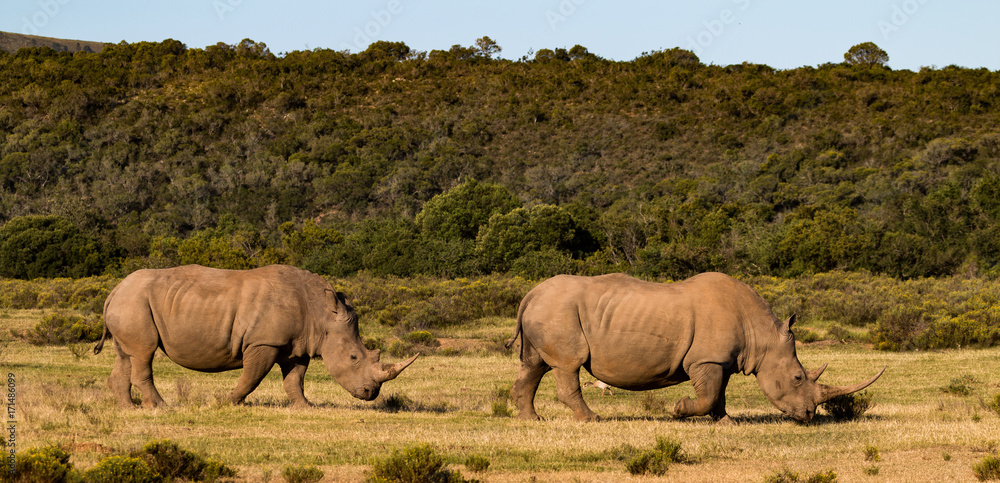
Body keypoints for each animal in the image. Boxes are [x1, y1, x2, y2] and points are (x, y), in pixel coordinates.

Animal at [94, 264, 418, 408]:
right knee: (144, 353)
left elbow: (294, 380)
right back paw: (162, 407)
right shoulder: (264, 341)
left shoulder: (296, 345)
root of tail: (113, 291)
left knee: (126, 354)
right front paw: (227, 401)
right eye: (353, 357)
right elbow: (252, 377)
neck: (321, 313)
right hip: (134, 303)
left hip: (130, 304)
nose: (371, 393)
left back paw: (129, 408)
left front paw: (305, 407)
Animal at [507, 272, 884, 423]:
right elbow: (707, 396)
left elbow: (719, 396)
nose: (808, 416)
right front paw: (678, 409)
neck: (761, 335)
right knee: (568, 365)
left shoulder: (723, 361)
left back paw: (532, 419)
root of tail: (531, 293)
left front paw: (727, 423)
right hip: (557, 312)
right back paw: (592, 419)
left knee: (534, 365)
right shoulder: (706, 360)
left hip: (547, 311)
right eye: (797, 378)